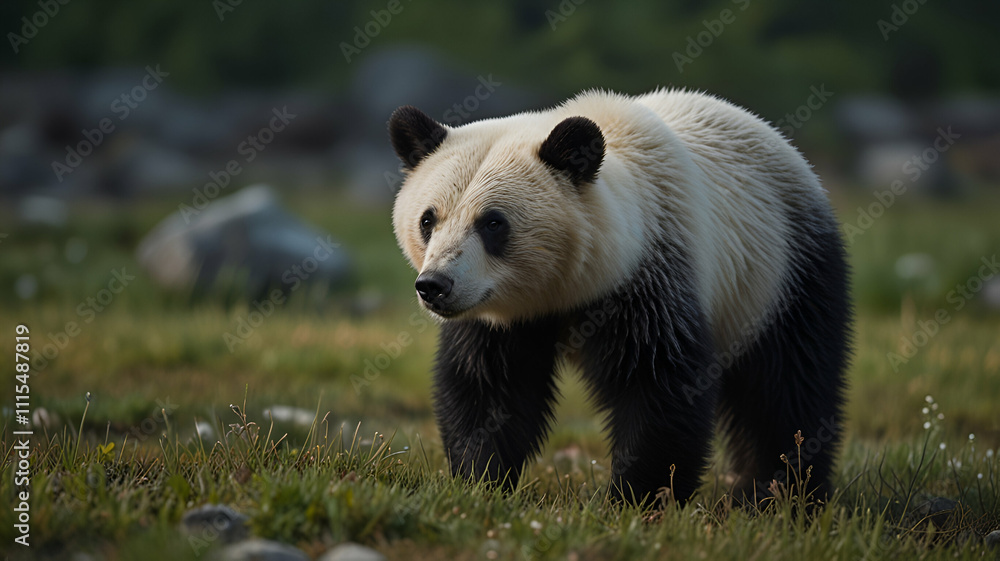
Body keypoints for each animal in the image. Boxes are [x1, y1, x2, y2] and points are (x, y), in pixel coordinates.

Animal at [387, 89, 851, 506]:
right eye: (428, 219)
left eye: (493, 223)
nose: (435, 285)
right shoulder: (497, 318)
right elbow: (488, 388)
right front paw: (481, 482)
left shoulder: (649, 272)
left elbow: (658, 386)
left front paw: (637, 500)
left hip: (781, 270)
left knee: (789, 384)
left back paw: (782, 496)